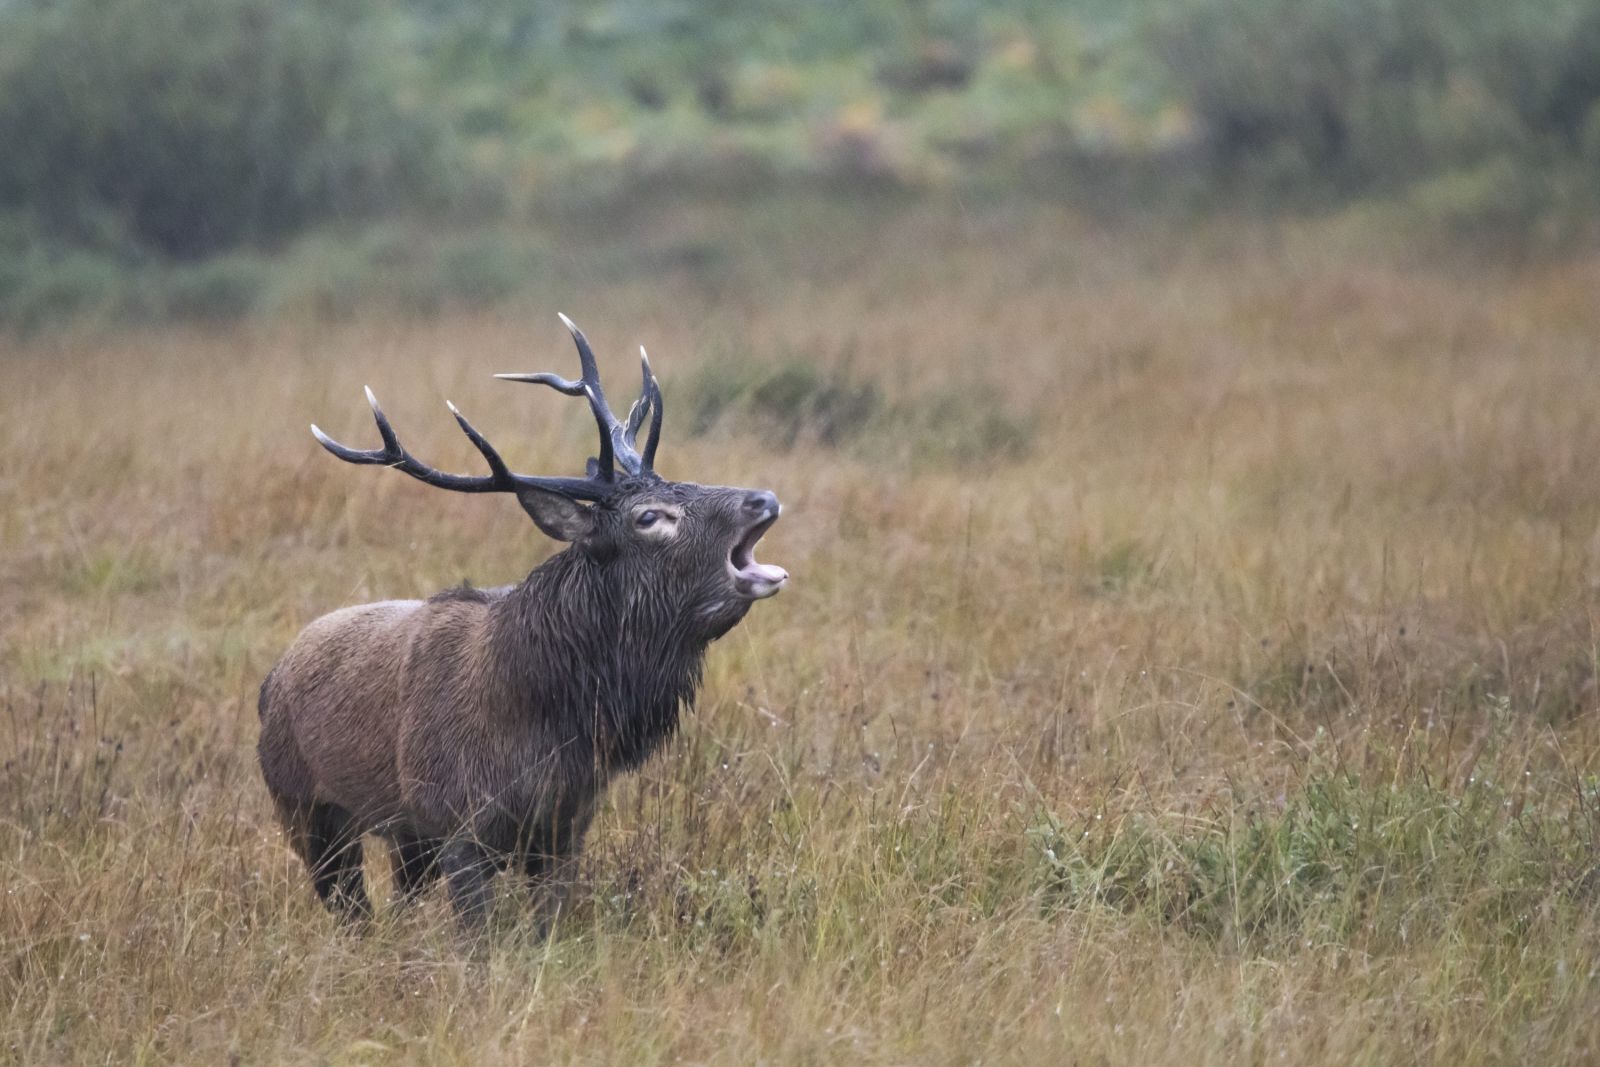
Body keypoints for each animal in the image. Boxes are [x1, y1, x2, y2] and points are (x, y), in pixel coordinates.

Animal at [257, 316, 788, 930]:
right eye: (649, 516)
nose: (764, 498)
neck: (545, 720)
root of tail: (270, 680)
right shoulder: (458, 824)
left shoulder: (564, 828)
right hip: (306, 811)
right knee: (352, 912)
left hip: (406, 842)